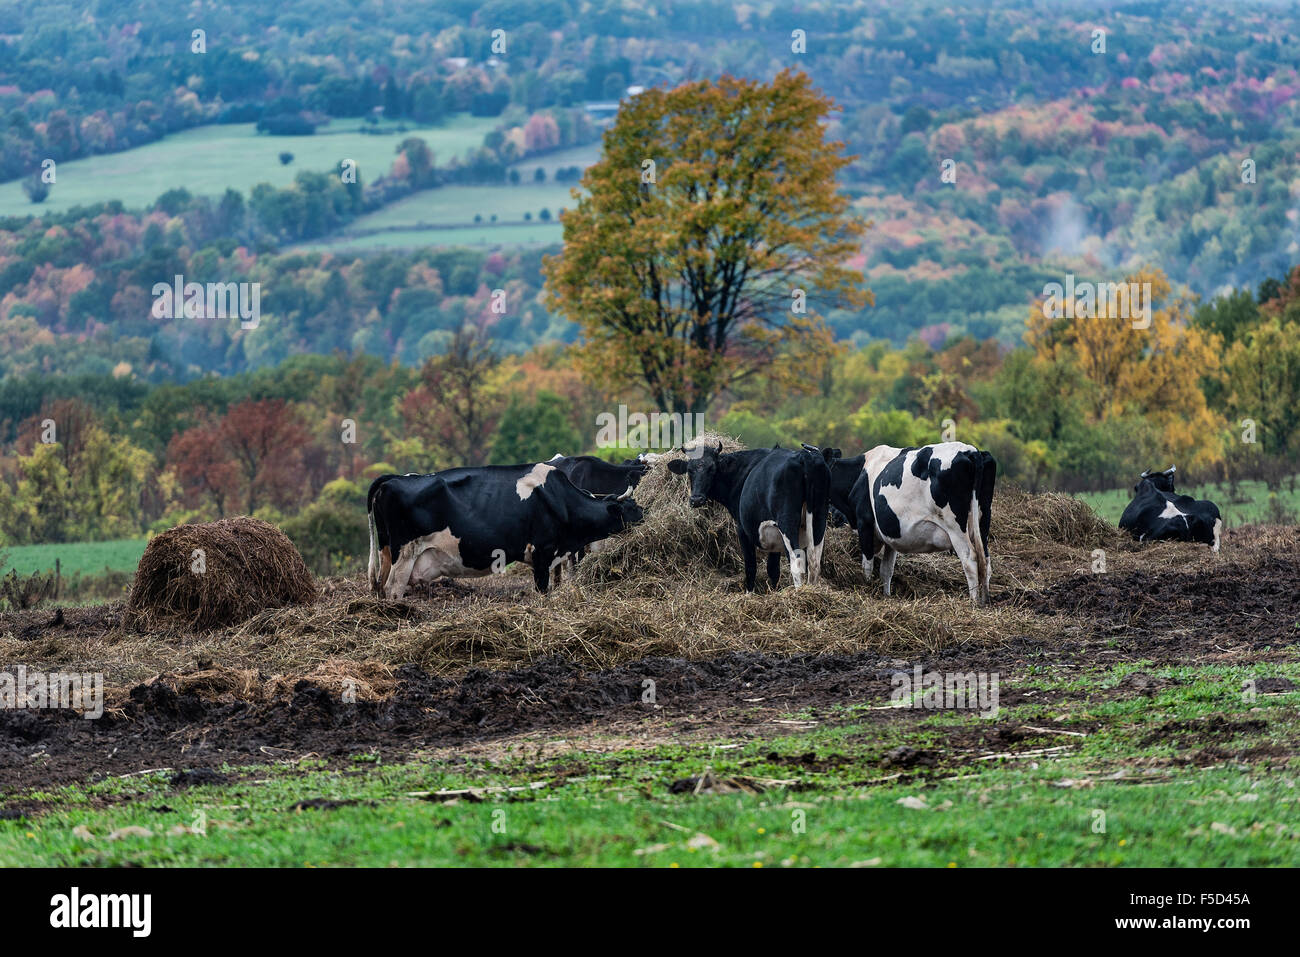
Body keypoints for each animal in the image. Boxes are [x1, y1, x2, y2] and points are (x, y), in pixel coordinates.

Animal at [369, 465, 642, 598]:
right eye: (631, 508)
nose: (645, 514)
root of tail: (392, 479)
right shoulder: (542, 552)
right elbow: (542, 591)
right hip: (405, 554)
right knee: (393, 589)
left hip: (386, 552)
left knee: (380, 587)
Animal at [670, 442, 832, 590]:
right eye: (689, 470)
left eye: (712, 468)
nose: (696, 499)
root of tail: (804, 455)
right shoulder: (774, 534)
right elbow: (773, 569)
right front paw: (774, 591)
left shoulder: (742, 529)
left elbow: (750, 567)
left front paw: (749, 593)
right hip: (819, 520)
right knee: (814, 562)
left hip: (787, 522)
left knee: (797, 562)